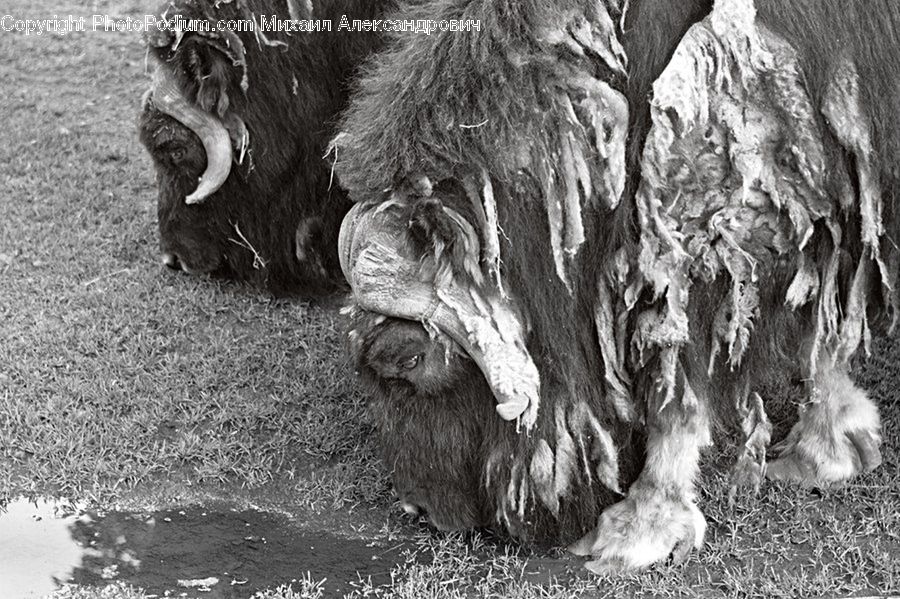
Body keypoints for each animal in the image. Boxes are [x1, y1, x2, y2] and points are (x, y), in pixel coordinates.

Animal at [334, 0, 899, 572]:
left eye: (408, 357)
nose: (417, 507)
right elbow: (820, 331)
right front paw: (835, 445)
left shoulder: (712, 245)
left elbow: (681, 385)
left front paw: (638, 528)